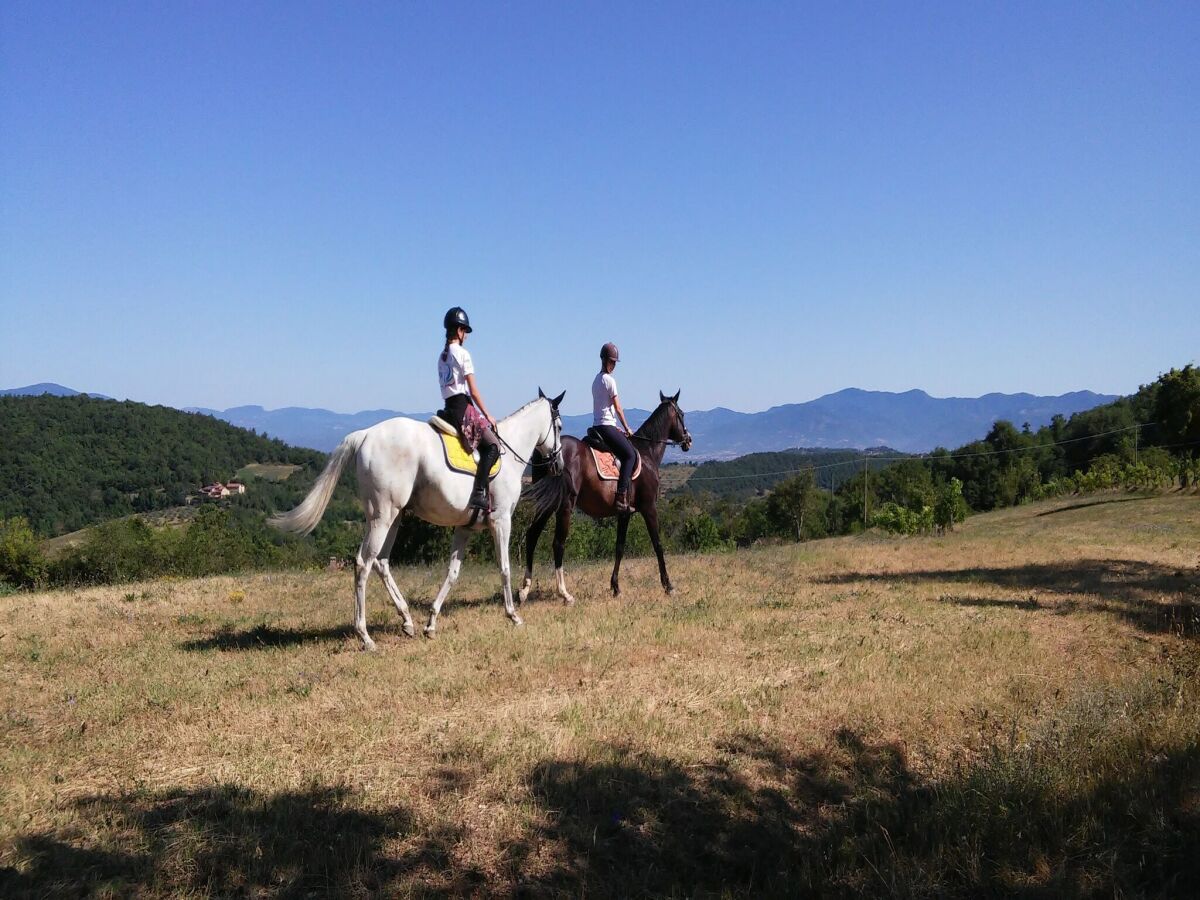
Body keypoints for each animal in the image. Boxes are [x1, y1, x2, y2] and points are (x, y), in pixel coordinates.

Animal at [272, 393, 566, 648]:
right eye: (559, 426)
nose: (559, 464)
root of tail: (364, 434)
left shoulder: (465, 527)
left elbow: (453, 572)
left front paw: (431, 623)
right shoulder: (502, 521)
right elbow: (504, 567)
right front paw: (513, 615)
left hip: (392, 517)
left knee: (381, 562)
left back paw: (407, 621)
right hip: (383, 516)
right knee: (363, 563)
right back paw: (365, 636)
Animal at [518, 388, 696, 607]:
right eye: (682, 414)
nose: (688, 440)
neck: (647, 452)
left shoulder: (625, 513)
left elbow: (619, 547)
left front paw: (616, 587)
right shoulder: (649, 508)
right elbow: (658, 545)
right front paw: (668, 586)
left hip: (548, 503)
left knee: (532, 535)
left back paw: (524, 590)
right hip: (564, 505)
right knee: (558, 543)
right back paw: (565, 594)